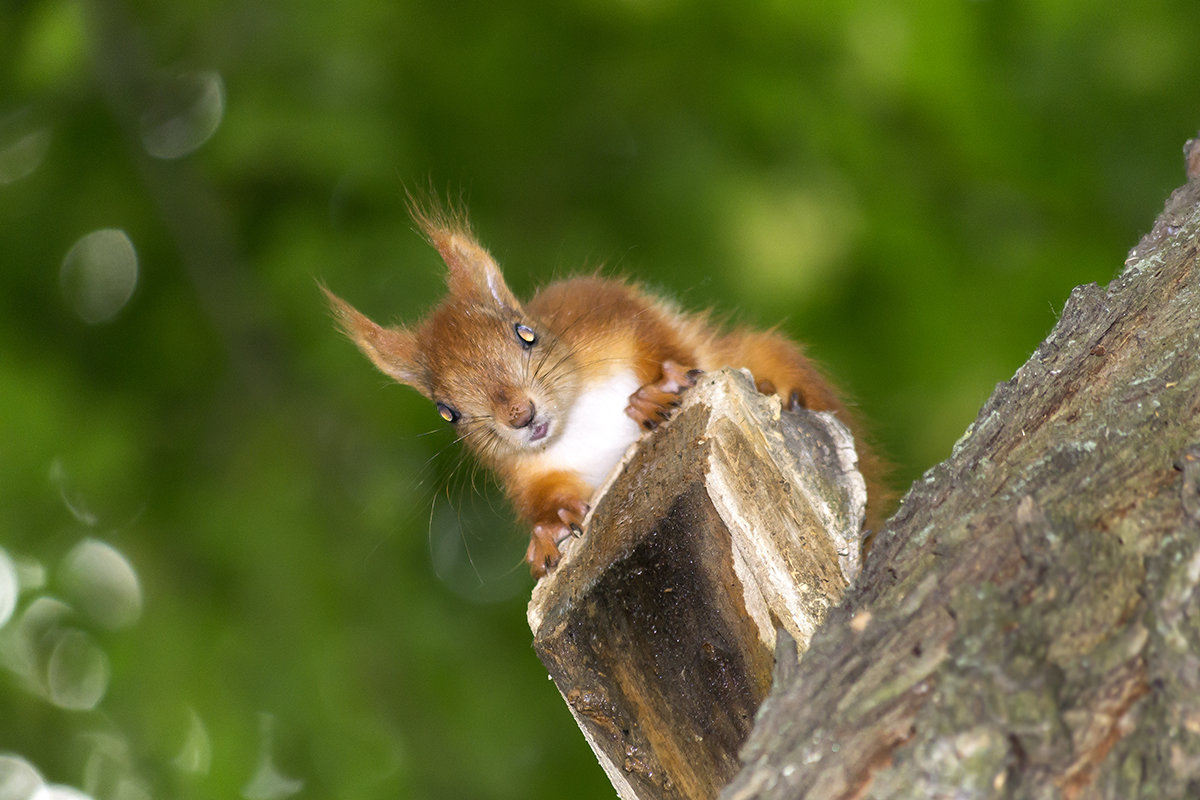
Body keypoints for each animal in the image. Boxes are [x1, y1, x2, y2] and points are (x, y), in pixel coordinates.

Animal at [324, 203, 888, 578]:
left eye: (525, 333)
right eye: (447, 412)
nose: (520, 415)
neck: (578, 418)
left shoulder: (608, 312)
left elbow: (662, 343)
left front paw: (657, 389)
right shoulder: (531, 471)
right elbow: (543, 500)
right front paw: (549, 528)